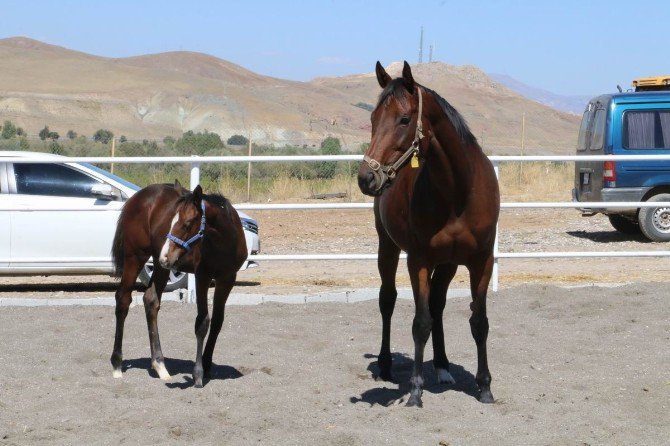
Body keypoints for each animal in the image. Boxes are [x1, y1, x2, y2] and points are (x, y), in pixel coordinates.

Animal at [111, 181, 248, 386]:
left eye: (187, 224)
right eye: (172, 221)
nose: (165, 255)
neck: (224, 242)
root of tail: (136, 198)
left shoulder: (227, 279)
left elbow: (217, 322)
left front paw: (207, 366)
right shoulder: (202, 277)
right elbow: (202, 322)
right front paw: (198, 373)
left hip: (160, 266)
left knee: (151, 301)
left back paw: (160, 365)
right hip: (135, 258)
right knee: (123, 301)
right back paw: (117, 364)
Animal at [360, 62, 502, 408]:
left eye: (404, 119)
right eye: (373, 119)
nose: (366, 177)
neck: (458, 192)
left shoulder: (481, 261)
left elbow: (479, 322)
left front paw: (485, 386)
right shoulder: (419, 261)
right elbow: (420, 322)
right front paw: (414, 390)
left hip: (448, 263)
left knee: (438, 304)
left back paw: (442, 366)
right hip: (388, 247)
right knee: (388, 299)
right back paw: (386, 365)